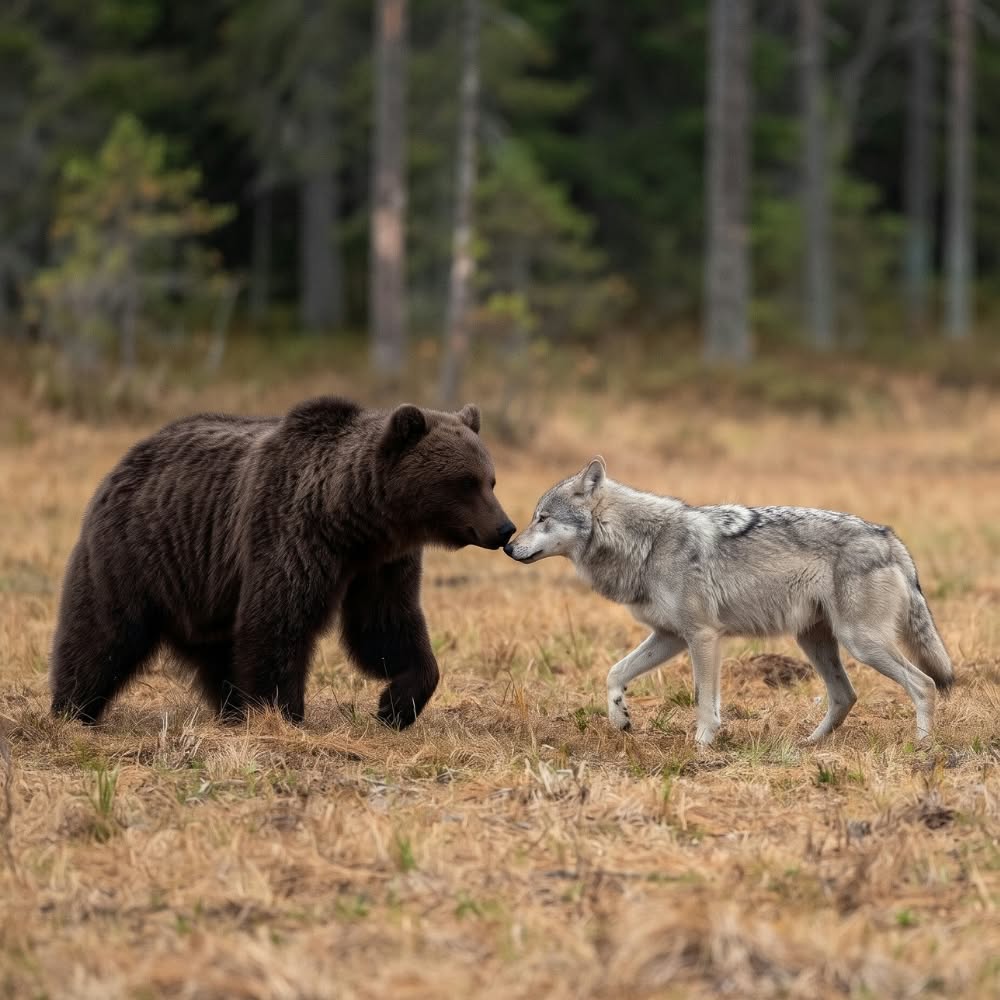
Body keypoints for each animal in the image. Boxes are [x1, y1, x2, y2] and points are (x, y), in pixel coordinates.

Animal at [49, 396, 515, 729]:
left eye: (490, 480)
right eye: (465, 483)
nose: (504, 528)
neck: (353, 521)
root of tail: (126, 459)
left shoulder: (383, 564)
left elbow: (385, 627)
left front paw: (394, 706)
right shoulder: (290, 533)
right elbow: (279, 621)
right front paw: (284, 714)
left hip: (206, 591)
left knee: (220, 653)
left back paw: (233, 710)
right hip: (138, 554)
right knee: (102, 634)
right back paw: (72, 710)